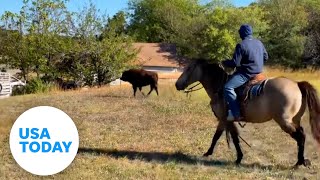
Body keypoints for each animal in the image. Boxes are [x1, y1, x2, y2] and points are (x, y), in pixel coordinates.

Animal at [175, 59, 320, 167]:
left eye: (189, 69)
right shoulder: (224, 120)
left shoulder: (225, 119)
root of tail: (297, 84)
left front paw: (237, 158)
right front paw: (209, 153)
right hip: (295, 120)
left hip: (284, 121)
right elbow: (220, 136)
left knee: (300, 136)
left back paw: (299, 162)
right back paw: (302, 160)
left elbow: (230, 138)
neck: (220, 87)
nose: (177, 84)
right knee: (302, 134)